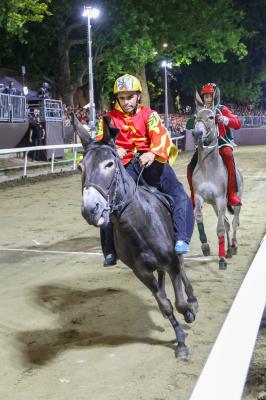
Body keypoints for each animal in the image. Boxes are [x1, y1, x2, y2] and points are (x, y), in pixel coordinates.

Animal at [71, 114, 198, 358]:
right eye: (81, 167)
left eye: (109, 164)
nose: (91, 209)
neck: (140, 224)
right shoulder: (141, 272)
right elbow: (165, 304)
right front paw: (180, 341)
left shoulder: (171, 262)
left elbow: (179, 300)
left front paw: (189, 311)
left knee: (183, 268)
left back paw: (193, 300)